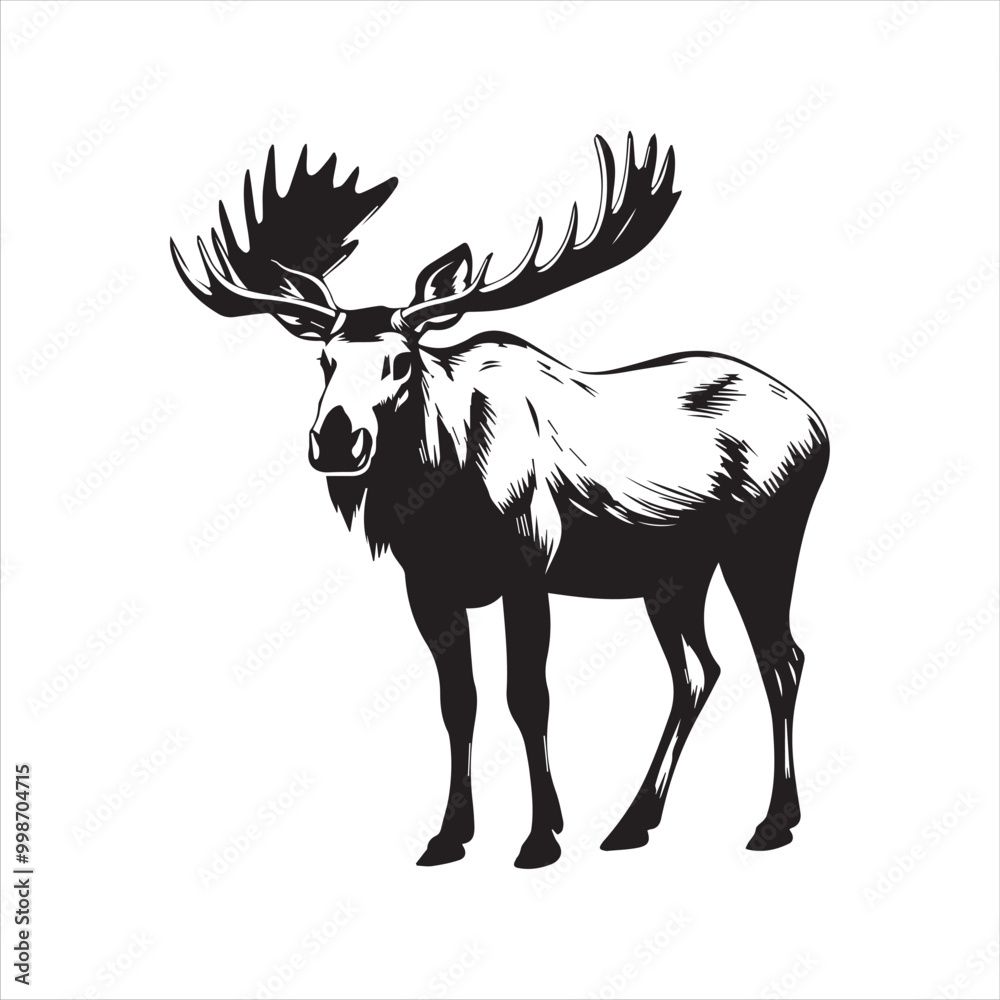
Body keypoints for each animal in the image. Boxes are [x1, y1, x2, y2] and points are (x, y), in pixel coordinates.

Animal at [171, 134, 828, 868]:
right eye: (324, 361)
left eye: (403, 360)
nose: (336, 439)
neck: (437, 495)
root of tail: (819, 425)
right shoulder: (428, 586)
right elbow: (458, 703)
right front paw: (448, 834)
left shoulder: (528, 567)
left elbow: (527, 697)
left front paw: (541, 836)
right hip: (673, 576)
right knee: (697, 673)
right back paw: (634, 822)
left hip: (763, 541)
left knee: (781, 661)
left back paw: (773, 821)